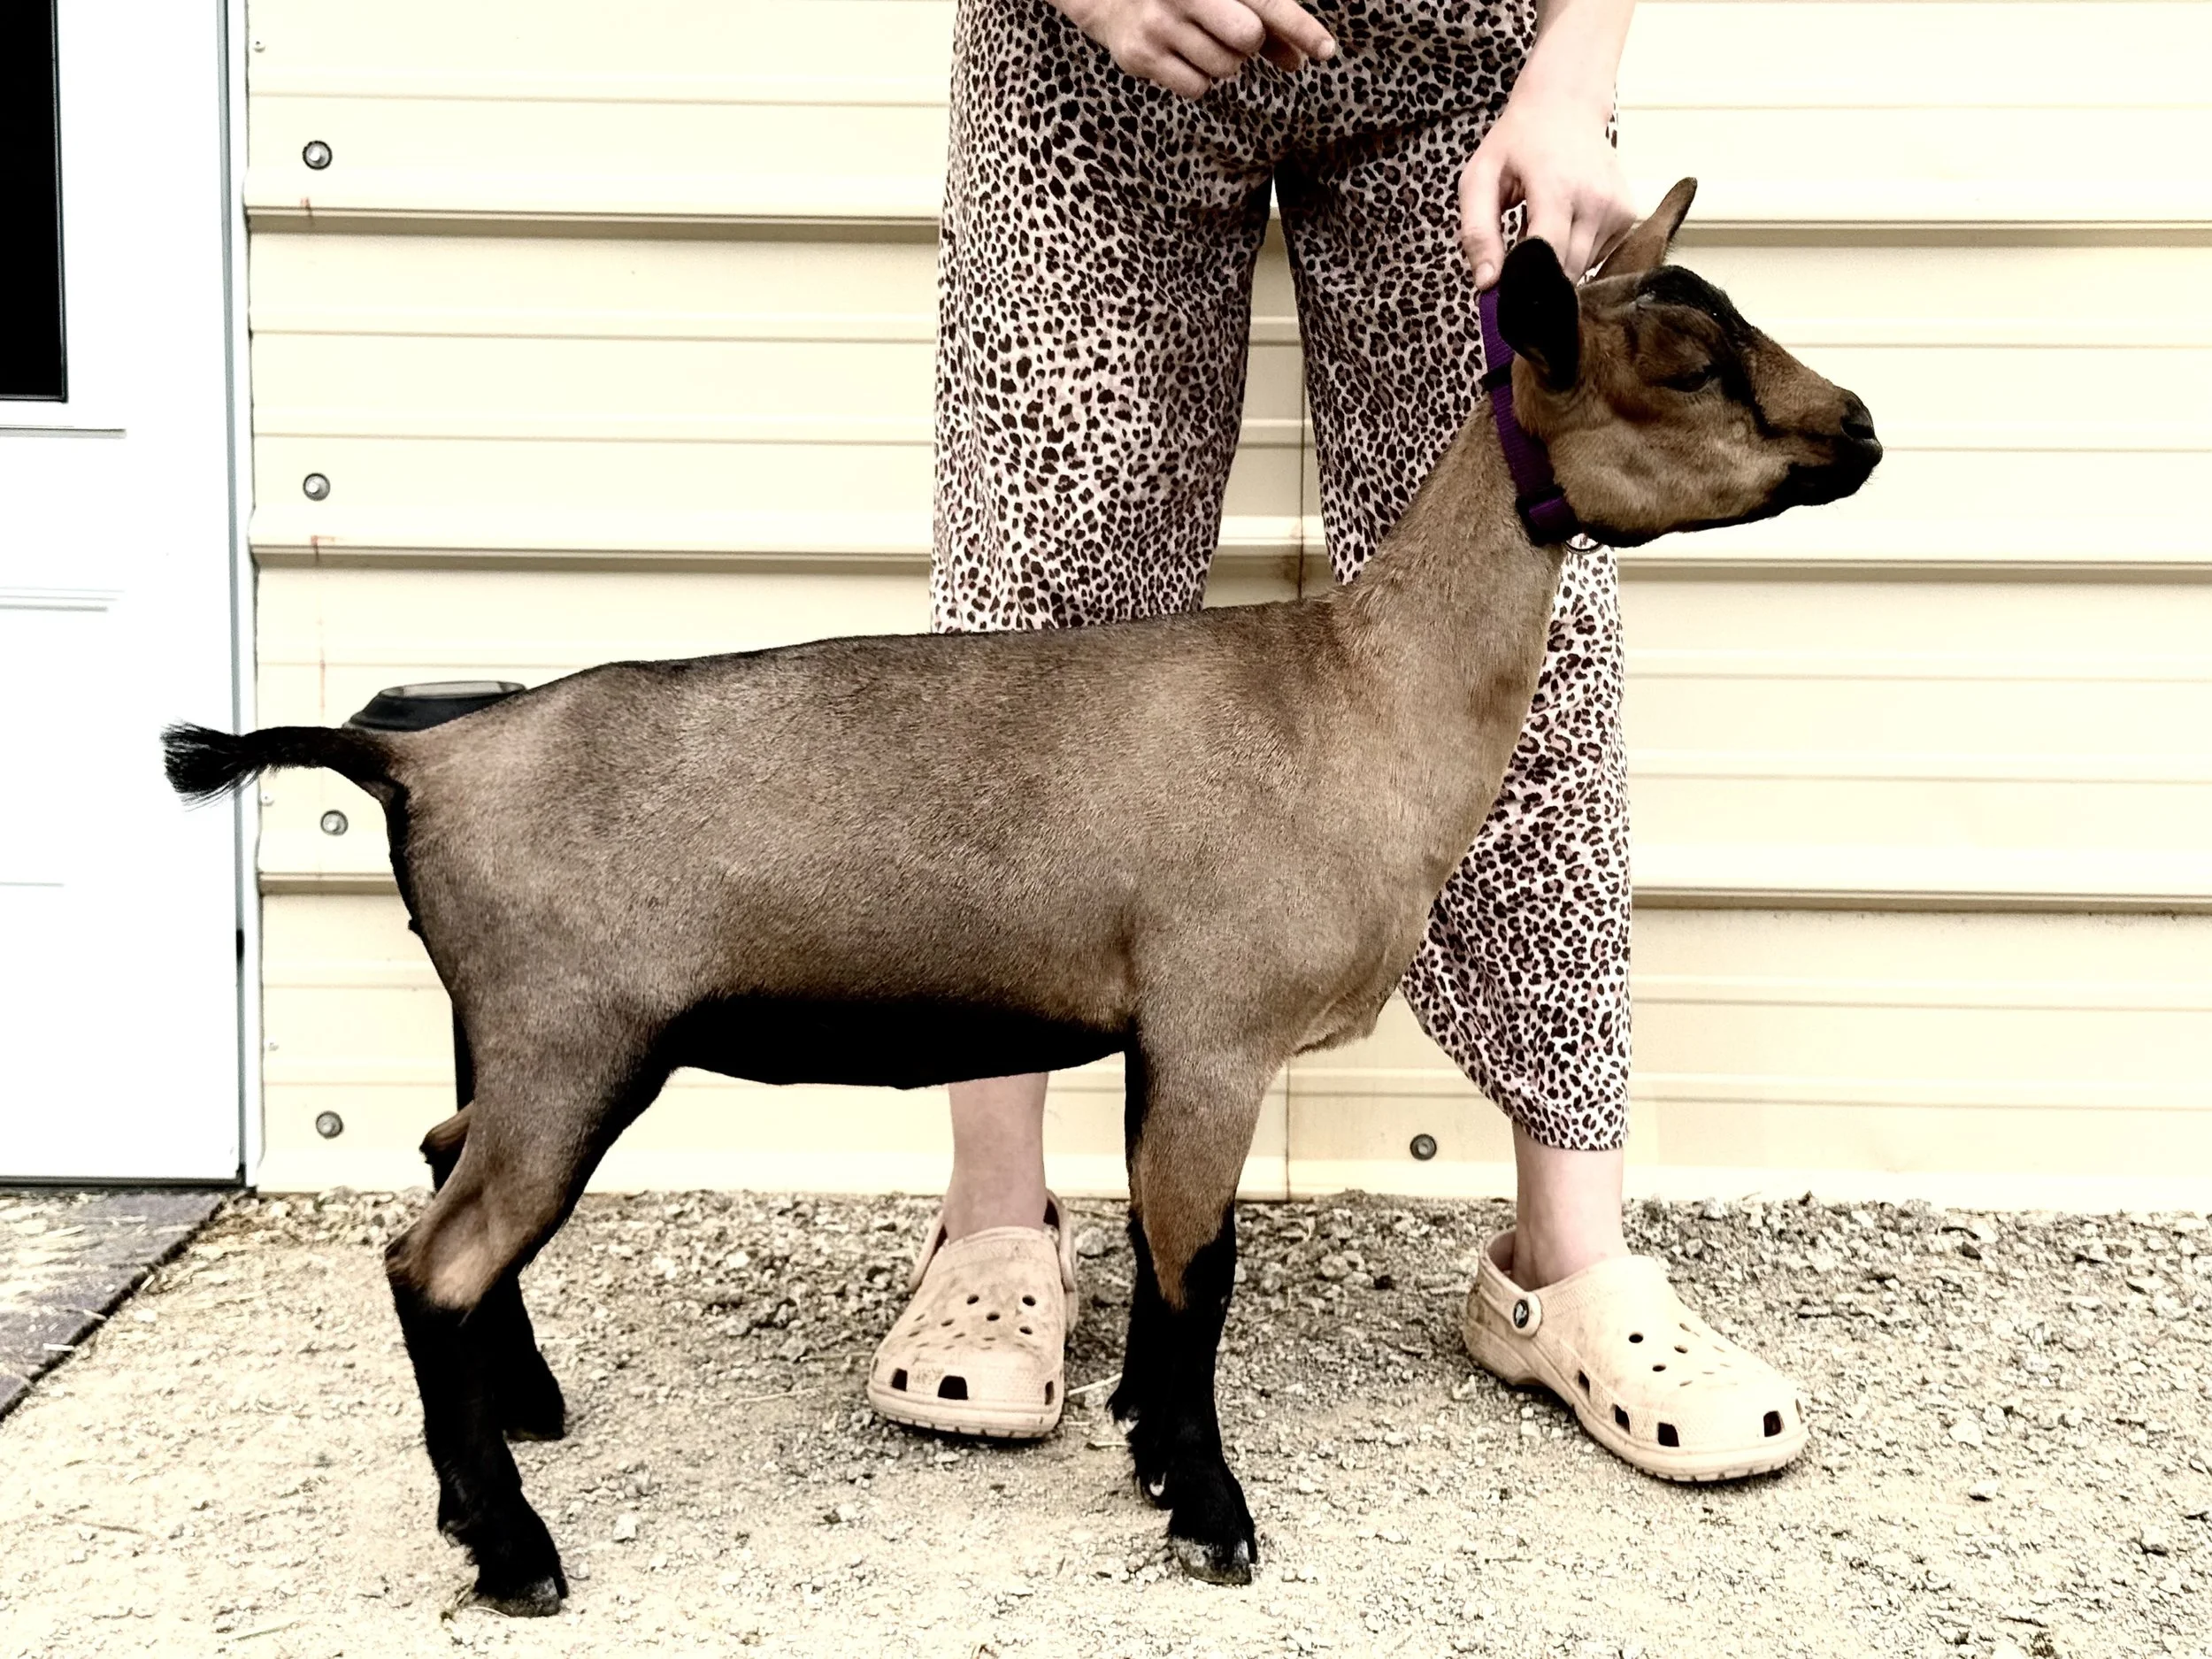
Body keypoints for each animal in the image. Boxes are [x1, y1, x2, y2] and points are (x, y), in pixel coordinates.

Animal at [162, 180, 1878, 1608]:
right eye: (1687, 366)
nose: (1861, 428)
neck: (1350, 693)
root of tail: (420, 759)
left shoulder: (1154, 1039)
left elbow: (1165, 1260)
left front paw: (1147, 1444)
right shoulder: (1215, 1029)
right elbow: (1199, 1271)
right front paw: (1207, 1507)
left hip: (523, 1042)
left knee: (440, 1175)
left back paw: (516, 1431)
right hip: (571, 1038)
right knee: (432, 1261)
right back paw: (512, 1544)